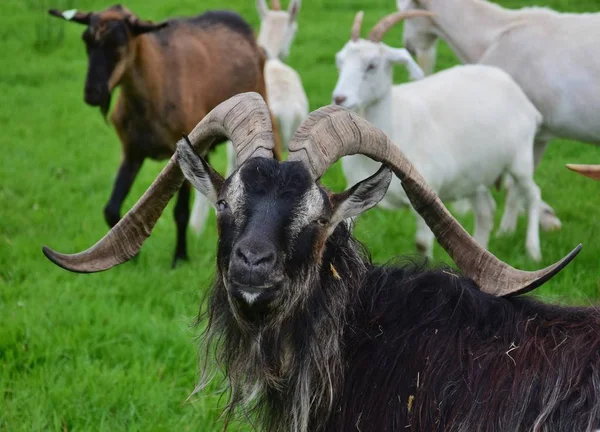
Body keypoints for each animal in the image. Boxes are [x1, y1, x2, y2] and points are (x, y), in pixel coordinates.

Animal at [49, 4, 282, 266]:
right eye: (86, 40)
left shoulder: (180, 151)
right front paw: (133, 259)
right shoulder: (132, 152)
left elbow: (180, 212)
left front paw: (180, 257)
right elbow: (111, 209)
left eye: (119, 43)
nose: (93, 93)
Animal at [336, 11, 548, 260]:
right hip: (473, 175)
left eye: (372, 65)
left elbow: (421, 244)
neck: (397, 121)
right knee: (486, 211)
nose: (339, 98)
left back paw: (533, 250)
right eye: (340, 62)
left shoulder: (427, 192)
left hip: (520, 160)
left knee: (533, 194)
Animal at [398, 0, 600, 231]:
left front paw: (507, 229)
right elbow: (519, 183)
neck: (495, 34)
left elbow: (513, 183)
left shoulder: (515, 129)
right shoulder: (539, 133)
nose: (408, 45)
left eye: (405, 11)